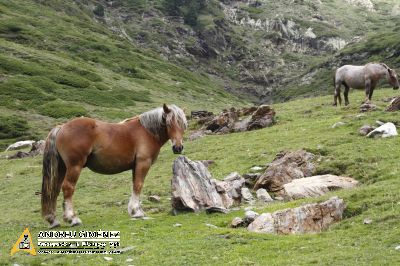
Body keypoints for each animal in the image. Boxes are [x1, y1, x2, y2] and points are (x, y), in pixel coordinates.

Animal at [40, 103, 188, 227]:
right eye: (168, 123)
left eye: (183, 125)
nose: (178, 148)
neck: (147, 132)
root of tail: (62, 127)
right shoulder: (143, 163)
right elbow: (138, 185)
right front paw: (137, 212)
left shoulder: (135, 166)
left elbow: (134, 185)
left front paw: (134, 210)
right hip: (74, 167)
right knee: (68, 188)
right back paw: (72, 218)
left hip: (62, 168)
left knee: (54, 190)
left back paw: (53, 220)